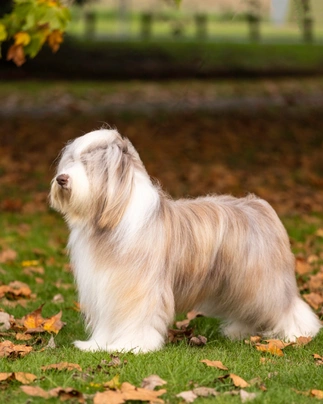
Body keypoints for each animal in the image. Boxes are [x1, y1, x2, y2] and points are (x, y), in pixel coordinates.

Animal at [50, 129, 322, 354]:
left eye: (89, 164)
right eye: (71, 161)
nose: (62, 179)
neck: (115, 217)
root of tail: (259, 205)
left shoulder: (139, 289)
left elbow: (137, 320)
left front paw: (132, 346)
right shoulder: (108, 287)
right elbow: (109, 322)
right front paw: (97, 345)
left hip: (261, 279)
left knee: (285, 305)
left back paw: (298, 334)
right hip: (238, 282)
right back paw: (240, 331)